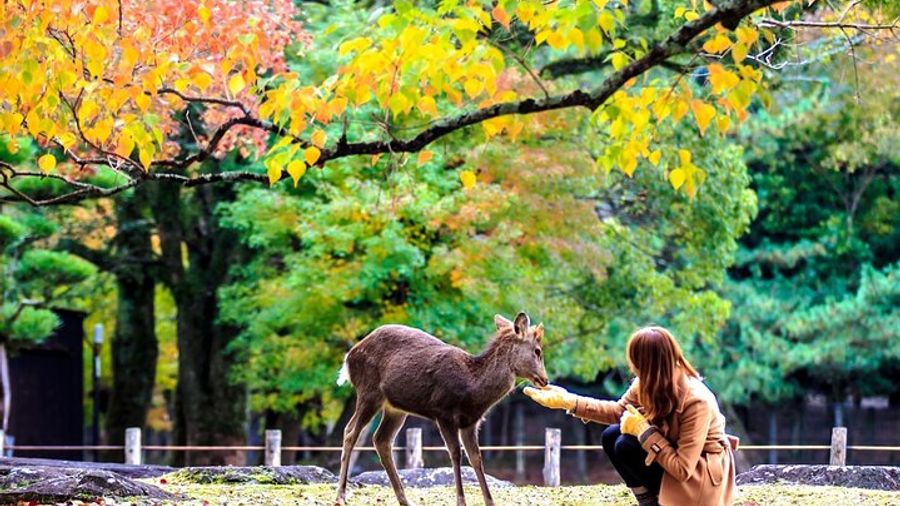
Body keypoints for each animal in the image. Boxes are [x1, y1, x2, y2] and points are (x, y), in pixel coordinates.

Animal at [333, 312, 548, 506]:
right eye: (537, 351)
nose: (545, 380)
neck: (473, 389)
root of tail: (348, 358)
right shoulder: (443, 412)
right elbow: (455, 453)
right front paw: (461, 501)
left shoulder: (471, 422)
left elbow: (476, 458)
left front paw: (490, 502)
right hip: (369, 392)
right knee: (350, 432)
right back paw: (340, 497)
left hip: (396, 408)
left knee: (381, 439)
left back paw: (405, 500)